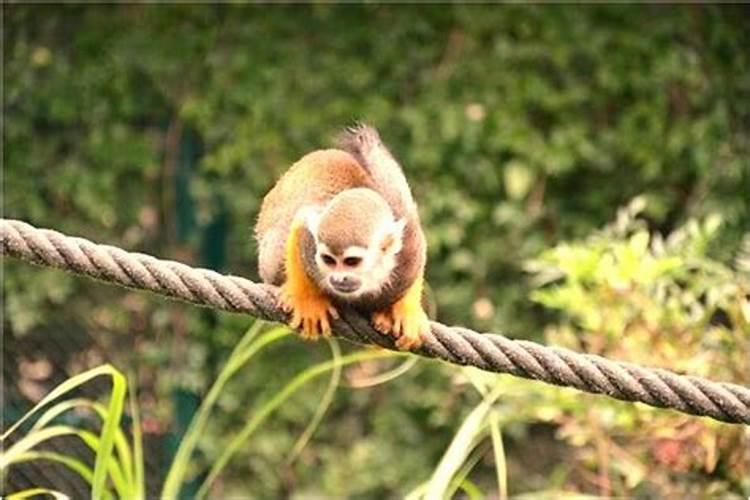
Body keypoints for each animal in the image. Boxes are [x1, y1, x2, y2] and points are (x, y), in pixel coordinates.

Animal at [258, 124, 428, 352]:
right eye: (329, 260)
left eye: (352, 262)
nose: (339, 278)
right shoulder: (311, 247)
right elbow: (301, 223)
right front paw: (307, 299)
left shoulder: (410, 249)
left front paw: (407, 311)